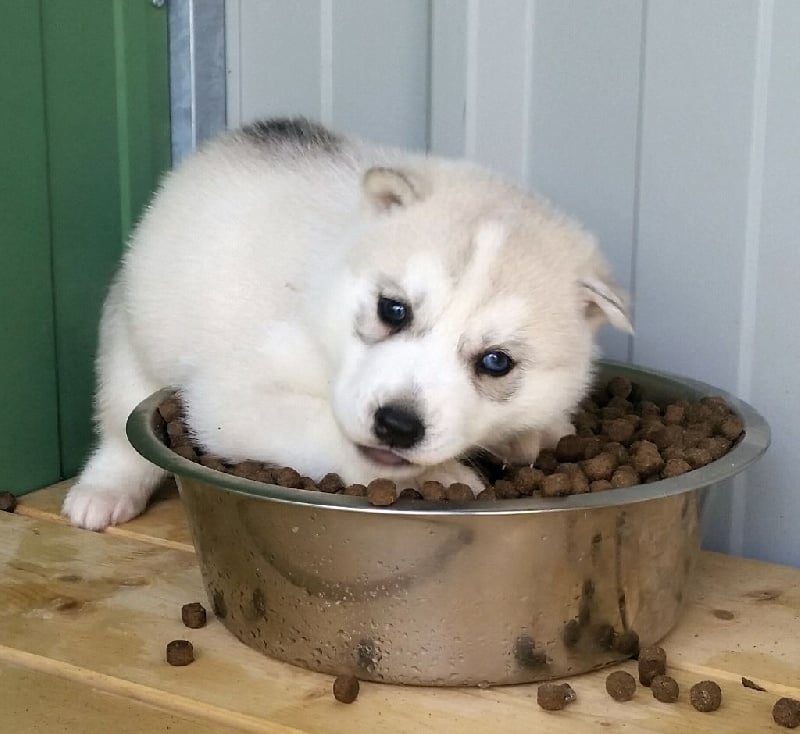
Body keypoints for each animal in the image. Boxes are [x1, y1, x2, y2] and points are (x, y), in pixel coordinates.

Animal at [63, 118, 632, 530]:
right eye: (393, 309)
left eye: (496, 362)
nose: (397, 425)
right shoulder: (232, 397)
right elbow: (327, 435)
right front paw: (448, 476)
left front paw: (534, 434)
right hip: (130, 338)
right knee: (118, 431)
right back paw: (102, 492)